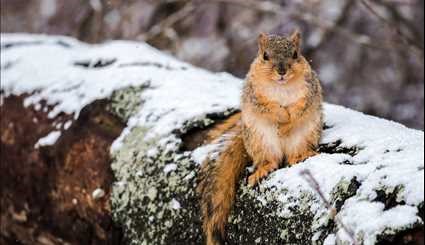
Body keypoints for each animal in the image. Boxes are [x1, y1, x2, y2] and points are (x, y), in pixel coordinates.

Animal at [197, 29, 322, 244]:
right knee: (272, 159)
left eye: (295, 54)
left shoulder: (309, 90)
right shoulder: (255, 94)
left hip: (306, 134)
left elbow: (300, 107)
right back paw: (263, 169)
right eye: (265, 55)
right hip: (260, 140)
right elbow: (268, 107)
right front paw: (281, 118)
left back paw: (300, 155)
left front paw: (287, 124)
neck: (281, 87)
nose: (281, 71)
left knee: (293, 154)